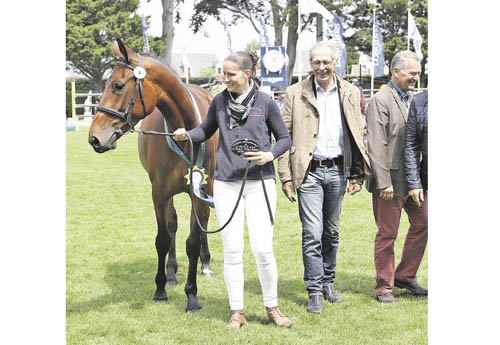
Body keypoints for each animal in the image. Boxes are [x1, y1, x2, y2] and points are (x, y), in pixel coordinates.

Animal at [87, 38, 219, 312]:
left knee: (202, 225)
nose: (94, 138)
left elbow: (193, 240)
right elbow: (163, 238)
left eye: (117, 86)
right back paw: (170, 273)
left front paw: (192, 297)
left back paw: (206, 265)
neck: (185, 133)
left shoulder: (199, 191)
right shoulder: (159, 192)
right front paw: (160, 288)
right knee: (172, 225)